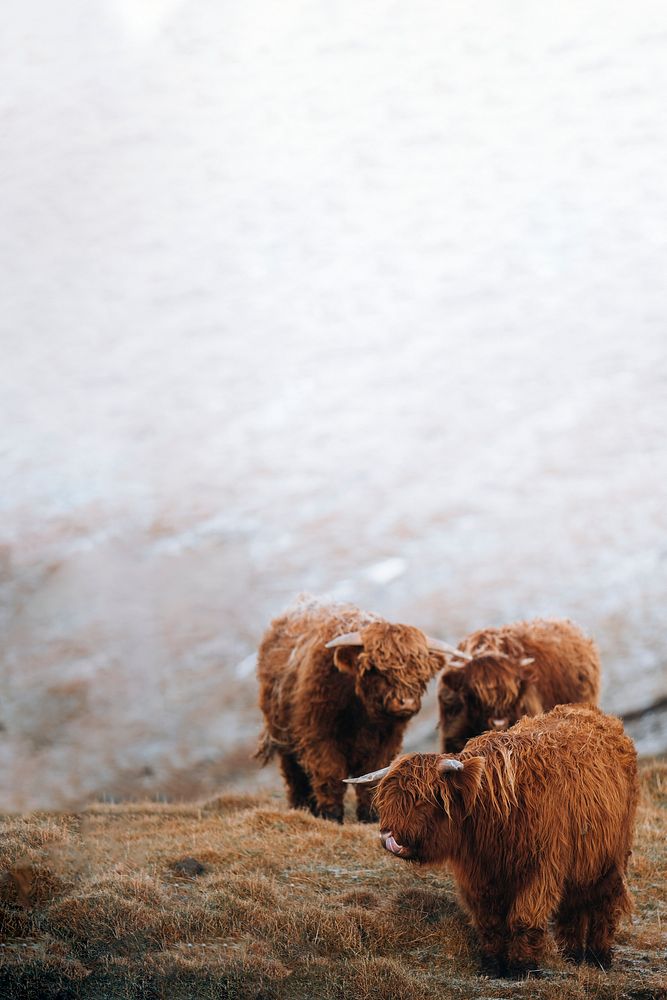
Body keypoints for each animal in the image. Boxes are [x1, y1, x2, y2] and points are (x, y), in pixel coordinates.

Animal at [256, 596, 460, 824]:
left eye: (420, 671)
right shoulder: (318, 735)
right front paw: (331, 815)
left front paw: (370, 815)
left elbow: (372, 775)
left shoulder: (386, 741)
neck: (362, 714)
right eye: (375, 669)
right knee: (294, 773)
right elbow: (330, 774)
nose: (405, 702)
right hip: (283, 735)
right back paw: (300, 807)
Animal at [350, 704, 636, 976]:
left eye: (422, 799)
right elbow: (489, 921)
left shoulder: (541, 869)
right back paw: (572, 956)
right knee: (573, 907)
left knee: (606, 904)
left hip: (612, 858)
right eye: (387, 799)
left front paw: (522, 968)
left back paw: (599, 959)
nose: (388, 836)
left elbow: (524, 918)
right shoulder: (478, 874)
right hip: (580, 863)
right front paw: (492, 966)